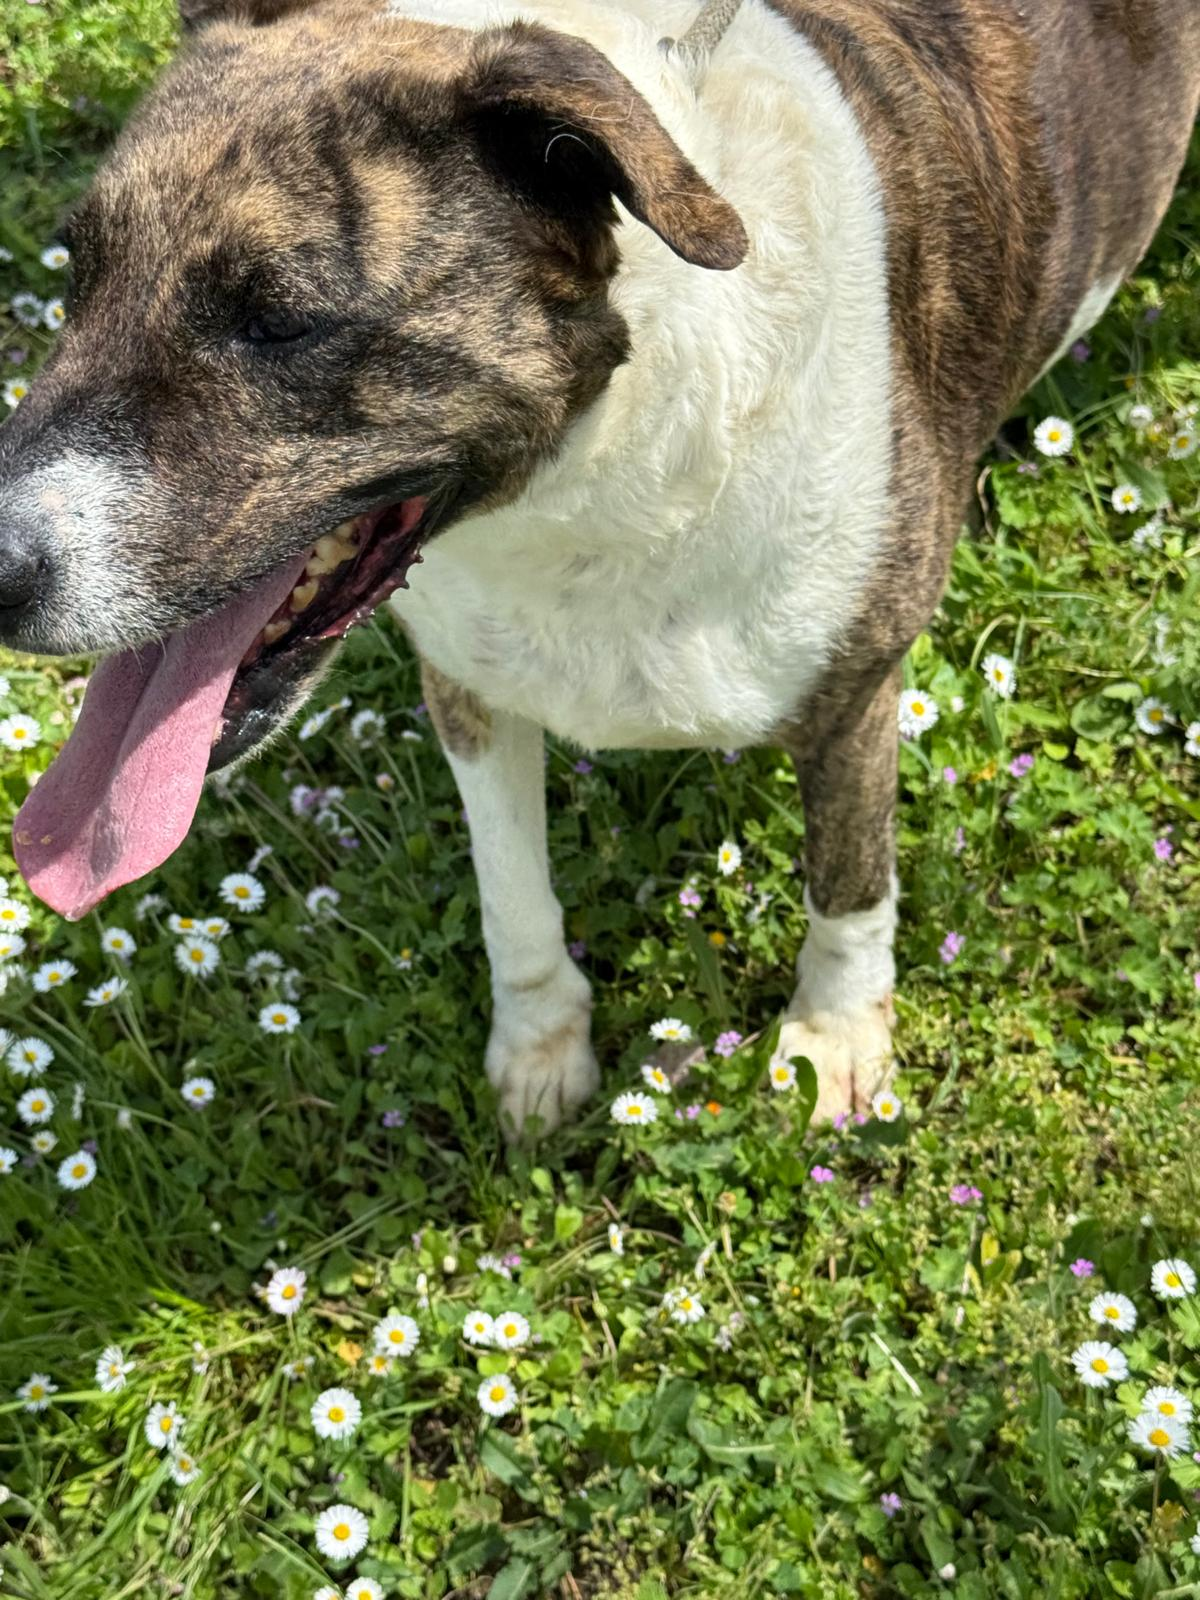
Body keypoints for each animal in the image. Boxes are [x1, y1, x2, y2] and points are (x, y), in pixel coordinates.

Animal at [1, 0, 1196, 1133]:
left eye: (280, 322)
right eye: (77, 275)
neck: (599, 478)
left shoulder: (856, 695)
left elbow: (850, 881)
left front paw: (833, 1039)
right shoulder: (471, 685)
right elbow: (512, 892)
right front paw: (541, 1045)